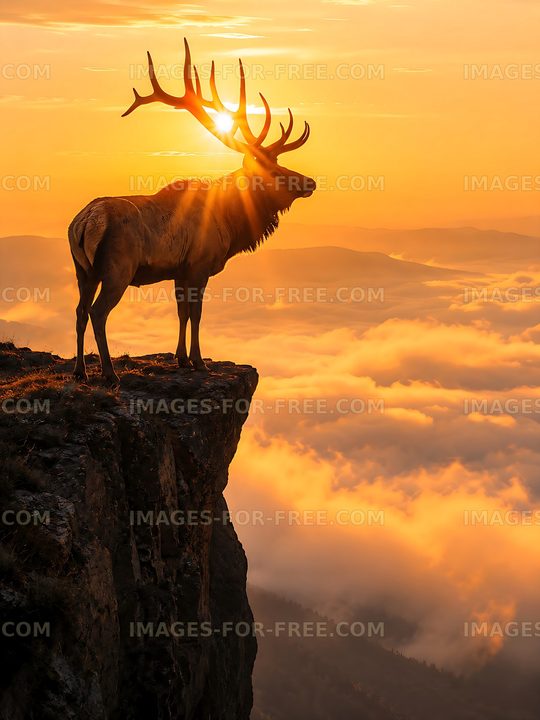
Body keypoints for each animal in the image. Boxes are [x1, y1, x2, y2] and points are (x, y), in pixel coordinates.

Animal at [69, 38, 316, 385]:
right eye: (275, 170)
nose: (310, 182)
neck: (231, 224)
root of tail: (86, 221)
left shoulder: (179, 270)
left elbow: (181, 312)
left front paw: (181, 359)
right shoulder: (200, 264)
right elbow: (197, 313)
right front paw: (199, 362)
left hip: (83, 270)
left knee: (79, 310)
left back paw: (80, 370)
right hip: (118, 267)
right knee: (97, 311)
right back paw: (109, 372)